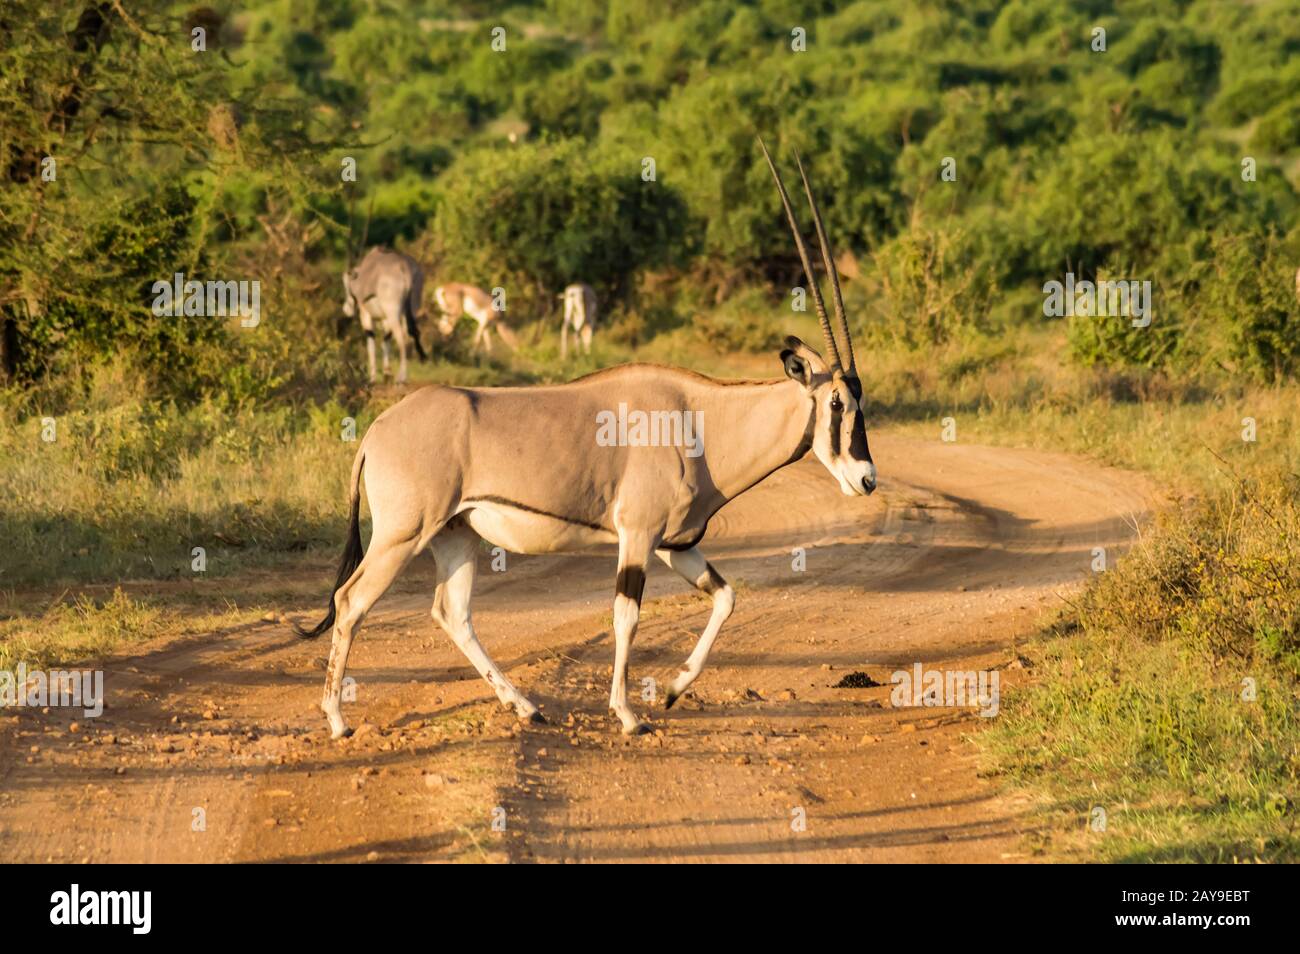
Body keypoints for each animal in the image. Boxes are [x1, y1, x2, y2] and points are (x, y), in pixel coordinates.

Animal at [343, 248, 428, 387]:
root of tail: (404, 267)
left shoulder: (365, 312)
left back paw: (400, 378)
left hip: (393, 313)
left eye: (346, 286)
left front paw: (372, 378)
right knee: (408, 335)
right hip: (410, 309)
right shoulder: (385, 319)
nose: (346, 310)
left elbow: (370, 340)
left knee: (401, 337)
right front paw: (387, 374)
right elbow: (386, 340)